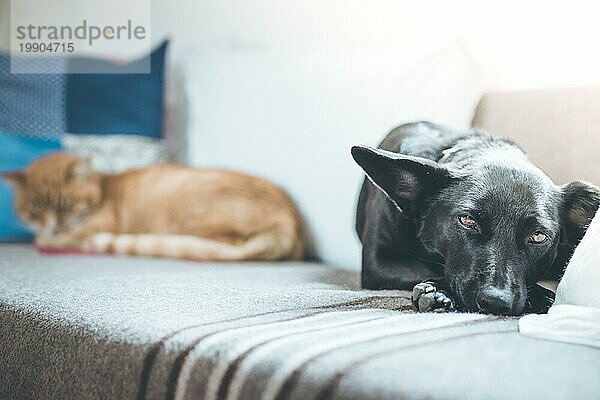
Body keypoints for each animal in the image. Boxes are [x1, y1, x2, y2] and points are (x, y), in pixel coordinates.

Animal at [1, 152, 304, 260]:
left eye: (65, 206)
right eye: (35, 212)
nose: (53, 227)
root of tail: (290, 224)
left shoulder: (97, 225)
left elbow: (63, 236)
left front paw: (51, 239)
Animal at [354, 120, 596, 314]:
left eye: (538, 236)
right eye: (468, 221)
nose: (496, 301)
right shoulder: (378, 263)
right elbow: (430, 268)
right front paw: (440, 291)